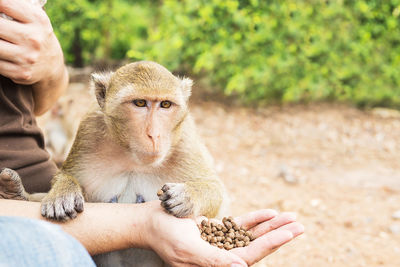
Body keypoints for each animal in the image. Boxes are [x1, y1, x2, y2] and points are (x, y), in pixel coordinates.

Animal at [32, 61, 228, 267]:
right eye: (140, 103)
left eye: (165, 104)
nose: (154, 135)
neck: (133, 158)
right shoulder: (89, 130)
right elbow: (67, 174)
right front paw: (63, 193)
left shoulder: (185, 139)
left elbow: (217, 191)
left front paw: (187, 196)